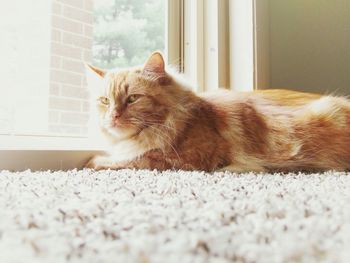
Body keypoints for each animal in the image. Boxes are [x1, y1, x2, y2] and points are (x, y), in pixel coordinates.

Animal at [85, 52, 350, 174]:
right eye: (105, 101)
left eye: (132, 99)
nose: (113, 116)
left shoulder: (184, 160)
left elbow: (128, 160)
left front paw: (94, 161)